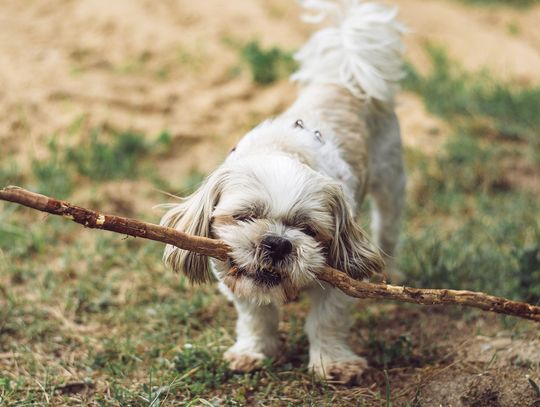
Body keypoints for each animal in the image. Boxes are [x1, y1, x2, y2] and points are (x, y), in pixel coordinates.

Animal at [160, 0, 404, 386]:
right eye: (245, 217)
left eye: (308, 229)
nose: (277, 242)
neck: (283, 149)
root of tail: (343, 80)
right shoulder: (230, 274)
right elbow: (256, 317)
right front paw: (253, 352)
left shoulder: (338, 275)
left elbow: (326, 321)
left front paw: (333, 363)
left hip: (392, 184)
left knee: (389, 230)